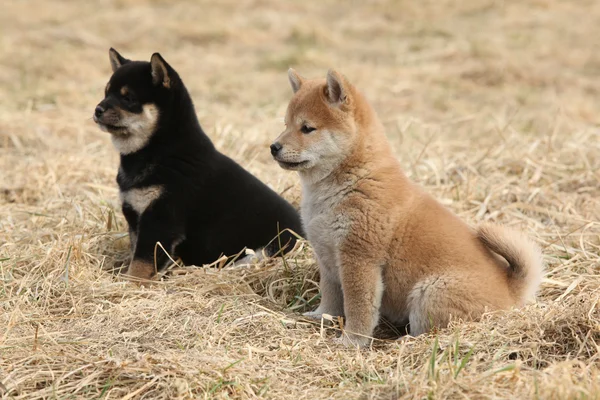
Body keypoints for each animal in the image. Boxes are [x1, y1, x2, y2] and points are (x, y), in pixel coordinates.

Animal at [94, 48, 304, 282]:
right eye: (106, 93)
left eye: (128, 98)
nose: (98, 109)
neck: (161, 150)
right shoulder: (136, 218)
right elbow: (138, 255)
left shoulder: (161, 219)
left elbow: (142, 262)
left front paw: (131, 283)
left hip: (267, 248)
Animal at [270, 69, 544, 346]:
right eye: (285, 125)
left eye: (307, 128)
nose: (273, 147)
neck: (354, 179)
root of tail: (509, 292)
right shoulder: (327, 257)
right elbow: (330, 297)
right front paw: (320, 316)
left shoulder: (359, 258)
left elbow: (358, 308)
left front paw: (352, 341)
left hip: (429, 293)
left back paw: (404, 341)